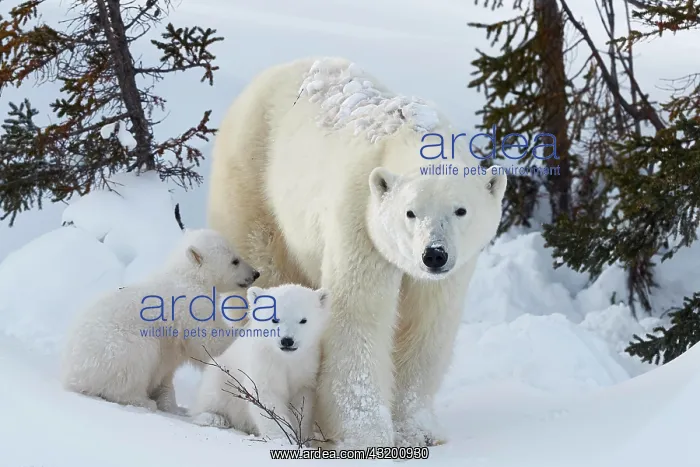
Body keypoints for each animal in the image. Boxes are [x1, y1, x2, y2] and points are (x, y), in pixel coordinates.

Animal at [60, 228, 260, 413]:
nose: (255, 273)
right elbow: (211, 341)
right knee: (136, 364)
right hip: (118, 349)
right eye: (235, 260)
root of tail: (73, 374)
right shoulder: (191, 307)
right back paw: (142, 401)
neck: (189, 277)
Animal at [190, 284, 330, 442]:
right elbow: (266, 397)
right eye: (275, 319)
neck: (284, 358)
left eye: (303, 320)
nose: (287, 340)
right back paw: (214, 418)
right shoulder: (264, 363)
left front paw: (301, 436)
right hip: (221, 374)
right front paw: (283, 437)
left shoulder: (307, 368)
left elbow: (302, 402)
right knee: (211, 395)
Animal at [206, 57, 507, 448]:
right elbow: (358, 315)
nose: (434, 255)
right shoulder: (360, 217)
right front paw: (367, 435)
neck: (411, 131)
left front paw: (418, 431)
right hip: (253, 175)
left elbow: (426, 323)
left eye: (460, 210)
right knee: (266, 263)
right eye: (410, 212)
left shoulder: (449, 272)